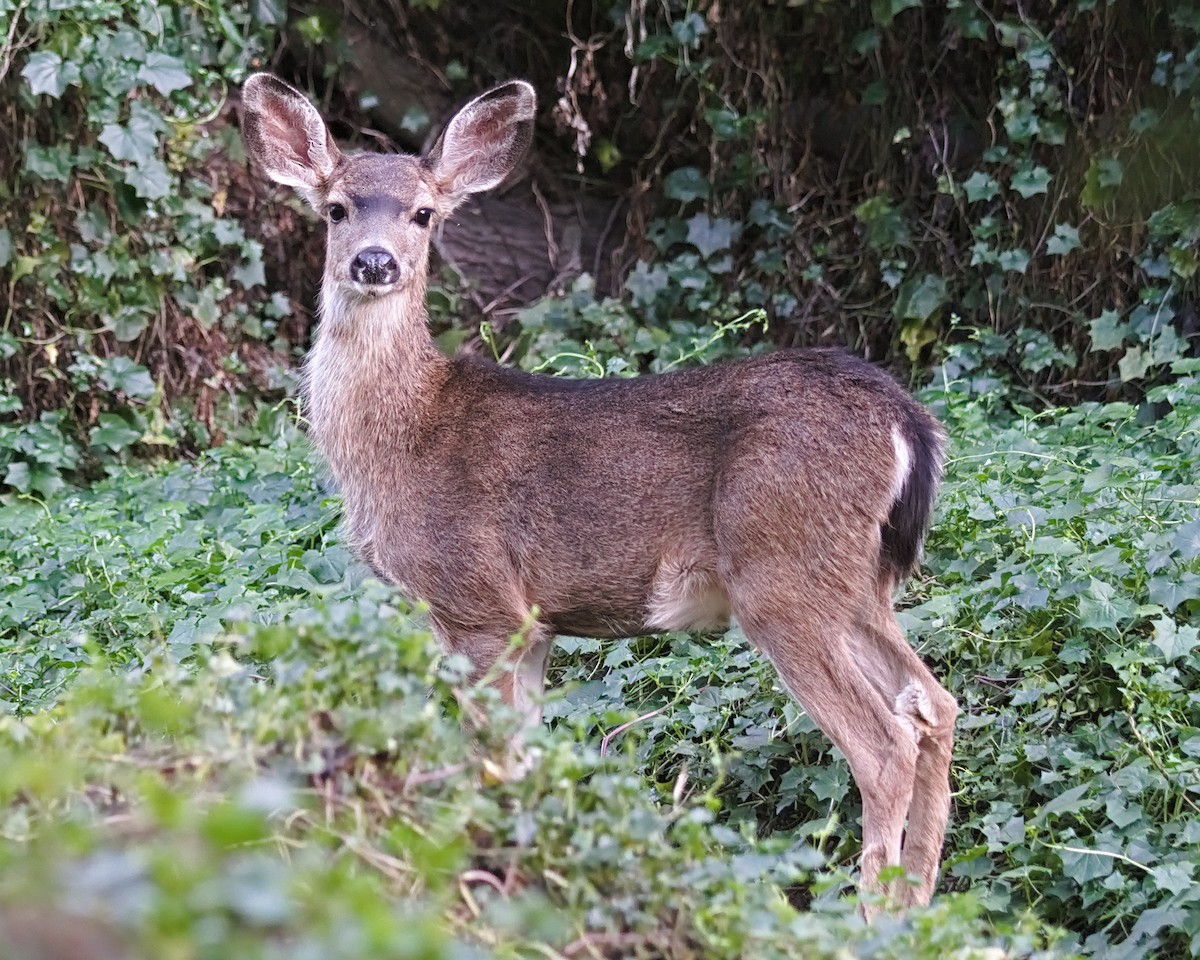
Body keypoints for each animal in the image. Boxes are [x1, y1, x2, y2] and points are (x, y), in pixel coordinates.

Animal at [241, 72, 958, 911]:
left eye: (424, 212)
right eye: (336, 207)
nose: (376, 261)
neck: (401, 442)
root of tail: (907, 422)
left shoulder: (479, 600)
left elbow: (492, 759)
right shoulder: (532, 623)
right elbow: (523, 758)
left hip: (784, 571)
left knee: (884, 743)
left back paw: (871, 914)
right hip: (859, 581)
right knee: (932, 703)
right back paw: (920, 907)